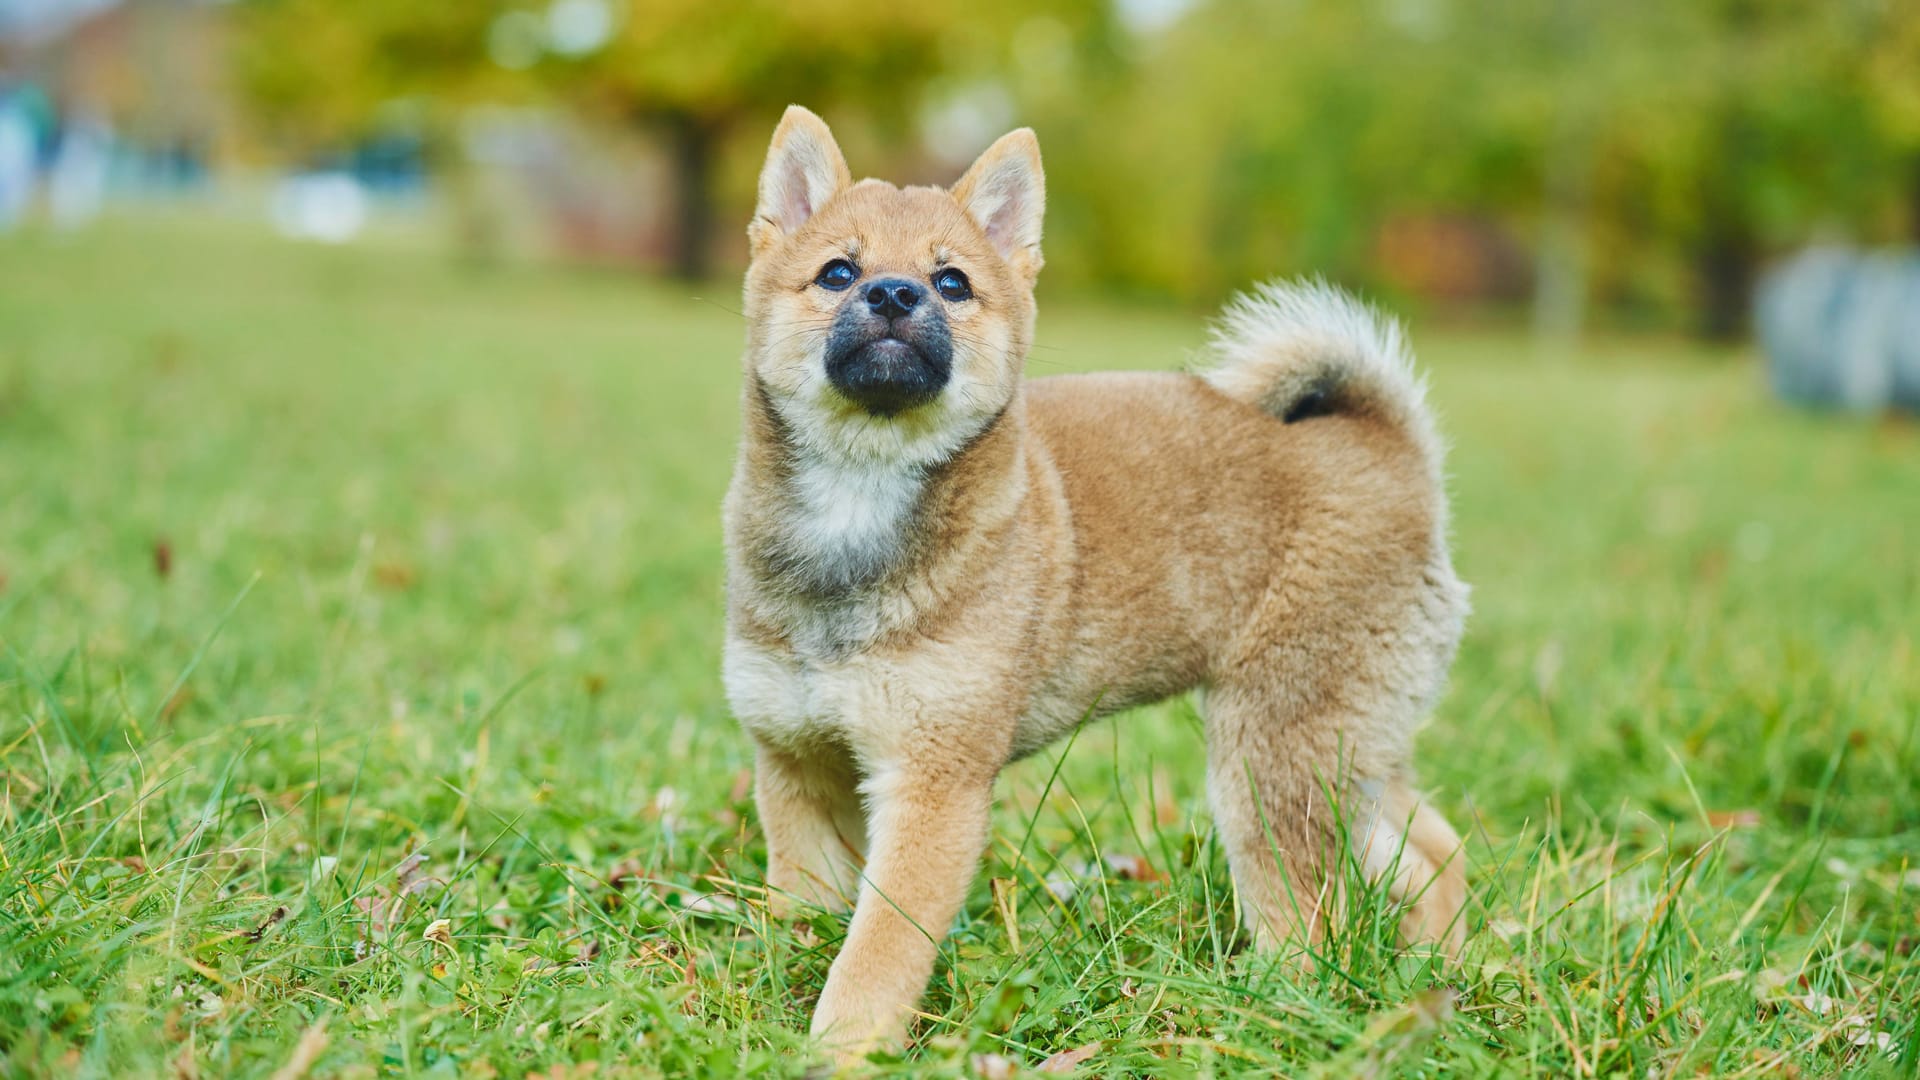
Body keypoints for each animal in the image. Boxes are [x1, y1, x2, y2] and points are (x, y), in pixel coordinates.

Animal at [721, 102, 1466, 1060]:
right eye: (837, 272)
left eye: (952, 282)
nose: (892, 295)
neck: (856, 509)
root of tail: (1388, 449)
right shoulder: (798, 763)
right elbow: (805, 910)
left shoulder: (931, 785)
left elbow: (877, 949)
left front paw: (842, 1048)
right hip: (1349, 741)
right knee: (1433, 851)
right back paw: (1444, 972)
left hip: (1274, 755)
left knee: (1309, 918)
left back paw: (1271, 1010)